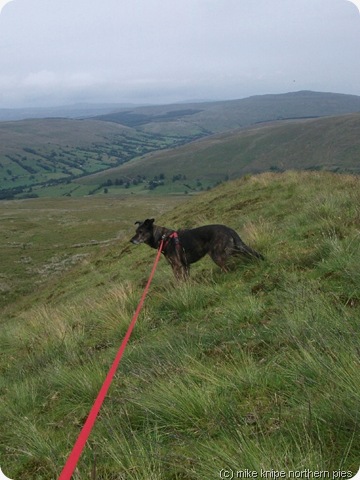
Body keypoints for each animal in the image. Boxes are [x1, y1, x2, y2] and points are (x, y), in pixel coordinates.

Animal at [130, 217, 264, 278]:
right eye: (136, 231)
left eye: (141, 232)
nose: (131, 240)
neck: (163, 238)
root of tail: (229, 229)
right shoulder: (185, 265)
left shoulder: (176, 265)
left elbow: (178, 280)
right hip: (233, 249)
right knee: (248, 253)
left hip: (218, 255)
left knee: (227, 268)